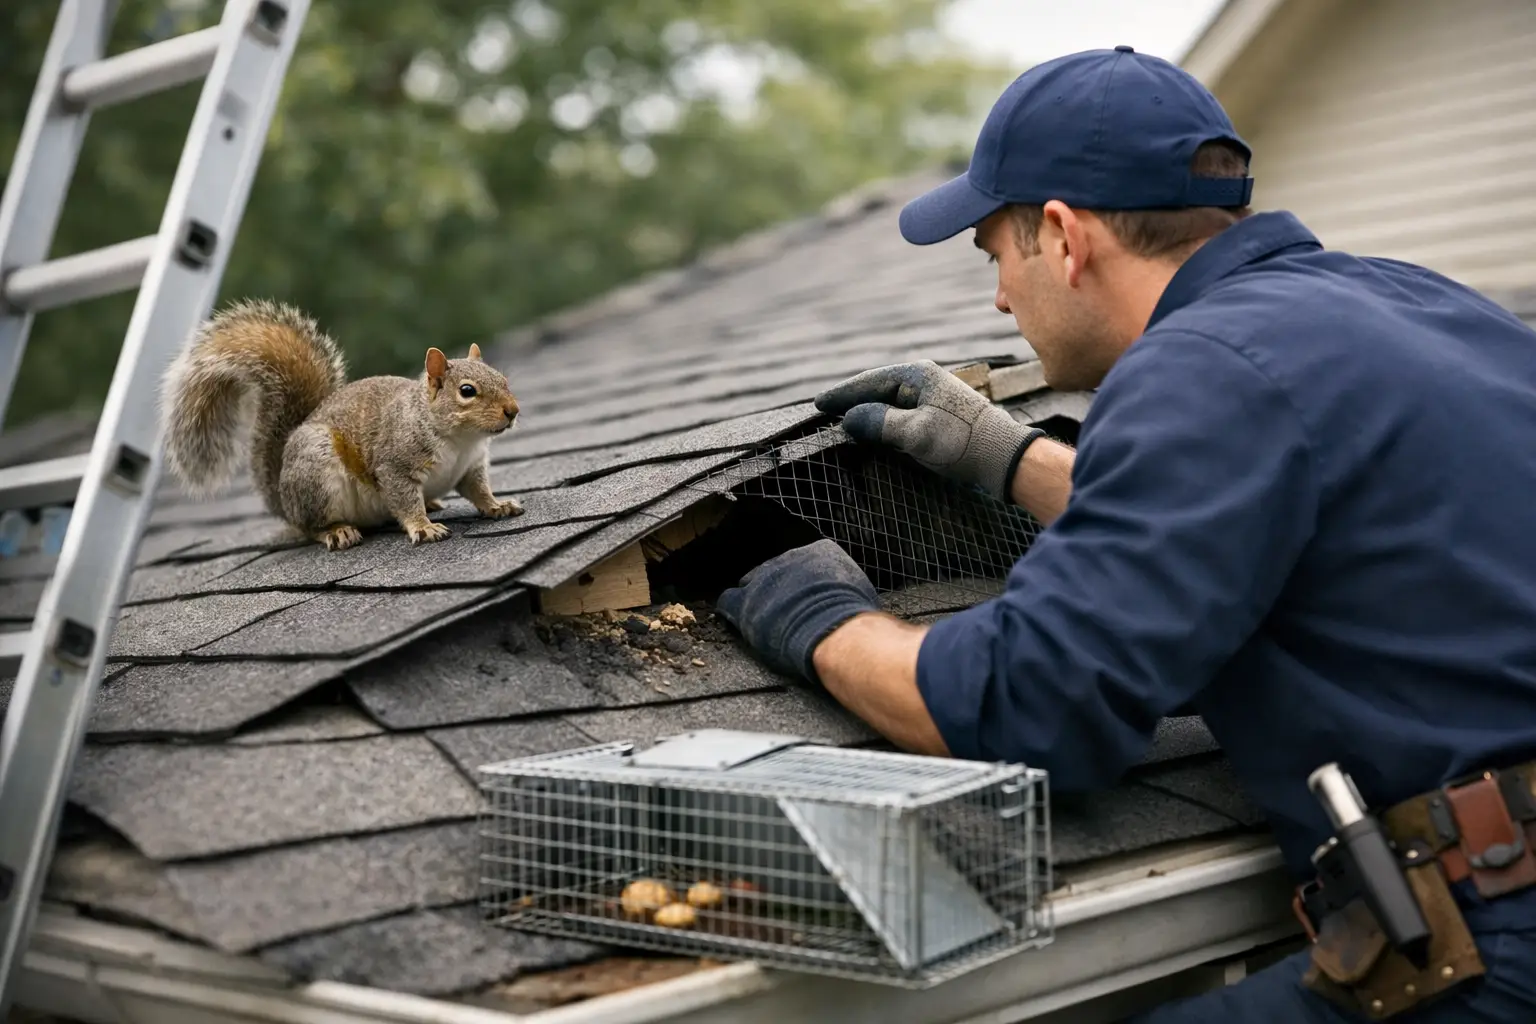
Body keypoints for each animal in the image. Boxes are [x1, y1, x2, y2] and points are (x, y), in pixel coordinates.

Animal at [159, 298, 525, 551]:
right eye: (467, 391)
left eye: (503, 379)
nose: (513, 410)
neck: (460, 441)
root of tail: (283, 497)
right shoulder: (395, 463)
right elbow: (404, 498)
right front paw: (423, 527)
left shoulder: (470, 467)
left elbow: (478, 491)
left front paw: (498, 505)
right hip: (317, 475)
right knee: (310, 527)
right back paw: (336, 531)